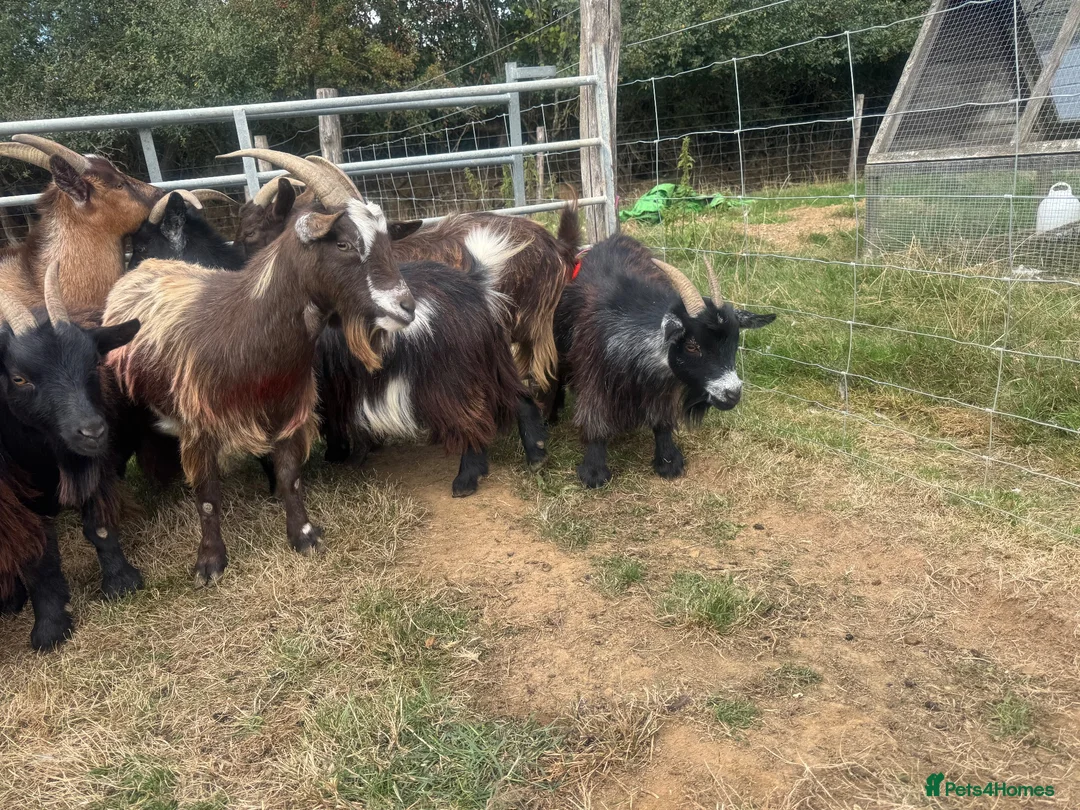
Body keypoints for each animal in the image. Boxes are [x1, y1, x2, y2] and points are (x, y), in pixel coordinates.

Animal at [0, 264, 142, 649]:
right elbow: (36, 556)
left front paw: (122, 582)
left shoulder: (95, 465)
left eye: (94, 362)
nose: (92, 431)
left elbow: (99, 527)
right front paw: (50, 628)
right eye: (18, 378)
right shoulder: (13, 497)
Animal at [102, 149, 415, 586]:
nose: (406, 306)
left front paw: (304, 536)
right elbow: (207, 496)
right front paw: (210, 563)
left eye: (387, 241)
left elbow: (289, 476)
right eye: (343, 242)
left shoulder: (287, 410)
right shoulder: (199, 423)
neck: (246, 328)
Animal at [318, 227, 544, 496]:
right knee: (520, 398)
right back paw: (537, 454)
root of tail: (472, 285)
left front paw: (339, 456)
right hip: (491, 360)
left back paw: (466, 479)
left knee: (473, 419)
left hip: (450, 377)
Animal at [550, 235, 776, 488]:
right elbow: (594, 419)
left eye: (735, 341)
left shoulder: (662, 385)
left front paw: (668, 461)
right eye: (692, 345)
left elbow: (662, 420)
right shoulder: (594, 375)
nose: (733, 394)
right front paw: (594, 472)